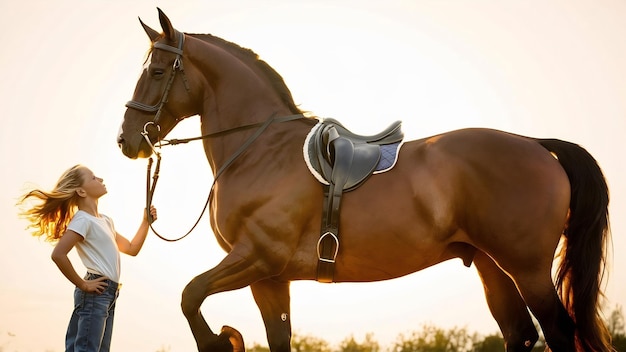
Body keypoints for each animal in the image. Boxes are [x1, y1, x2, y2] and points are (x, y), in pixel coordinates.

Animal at [116, 8, 608, 352]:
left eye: (156, 72)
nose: (128, 140)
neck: (259, 151)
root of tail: (535, 144)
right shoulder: (269, 277)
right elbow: (277, 337)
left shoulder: (256, 256)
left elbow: (190, 295)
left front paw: (222, 339)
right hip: (491, 264)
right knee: (520, 332)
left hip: (527, 268)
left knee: (557, 330)